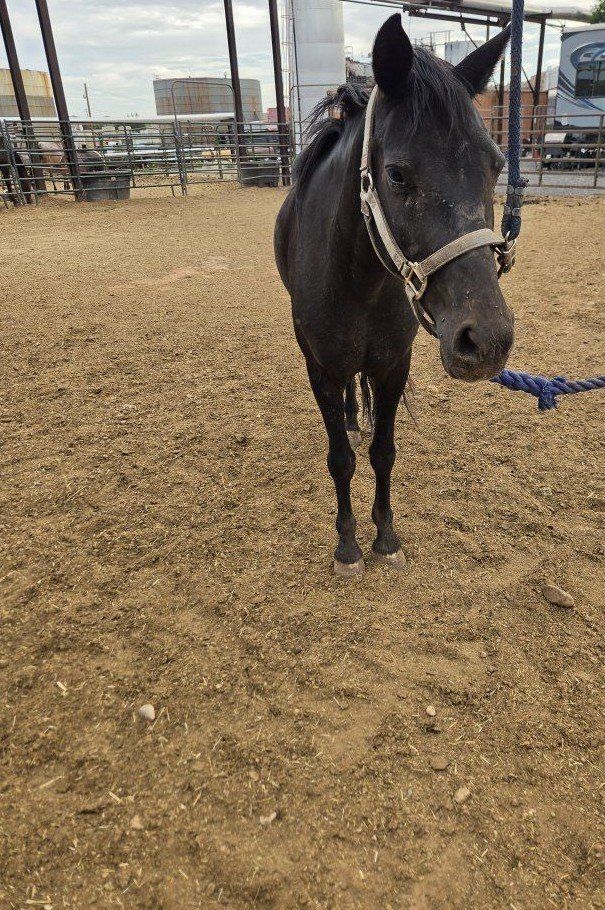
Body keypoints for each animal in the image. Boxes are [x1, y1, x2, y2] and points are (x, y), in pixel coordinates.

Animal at [274, 14, 515, 576]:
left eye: (496, 165)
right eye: (397, 173)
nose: (487, 340)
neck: (359, 281)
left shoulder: (392, 365)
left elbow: (384, 453)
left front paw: (385, 536)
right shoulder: (320, 367)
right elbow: (340, 459)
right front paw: (347, 545)